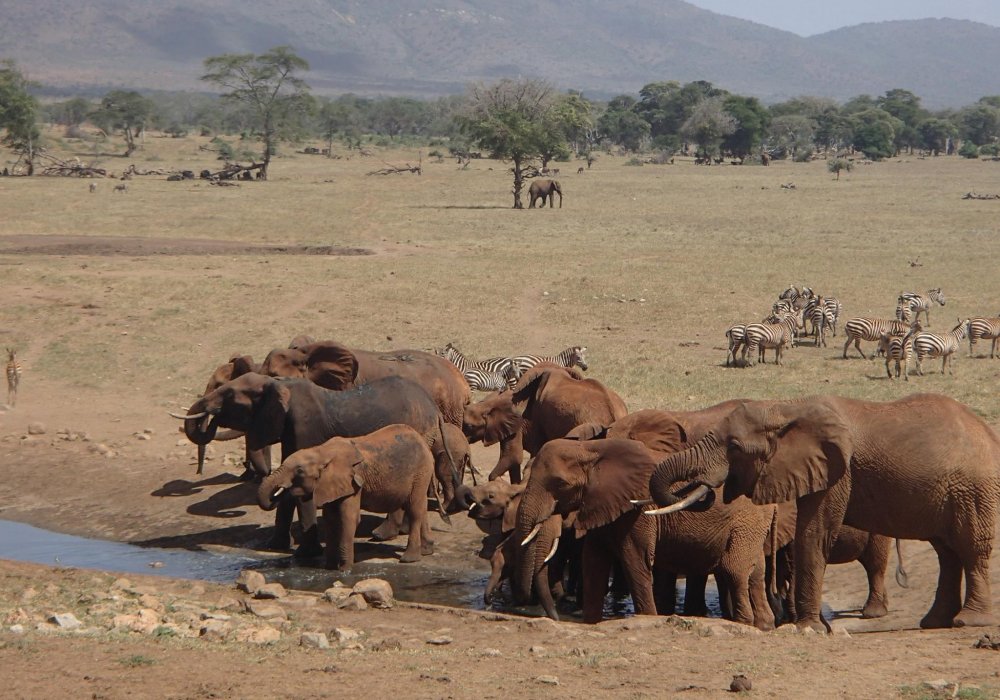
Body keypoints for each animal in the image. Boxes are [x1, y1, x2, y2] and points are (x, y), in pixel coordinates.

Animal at [258, 424, 434, 572]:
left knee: (415, 509)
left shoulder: (353, 483)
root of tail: (422, 440)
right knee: (421, 507)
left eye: (299, 471)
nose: (279, 491)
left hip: (421, 470)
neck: (322, 451)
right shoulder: (329, 485)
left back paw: (409, 559)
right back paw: (426, 551)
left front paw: (345, 570)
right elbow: (331, 518)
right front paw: (329, 568)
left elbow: (347, 518)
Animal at [648, 396, 1000, 632]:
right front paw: (812, 626)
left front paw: (807, 628)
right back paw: (934, 622)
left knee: (971, 549)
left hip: (974, 489)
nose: (708, 490)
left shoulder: (839, 471)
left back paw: (968, 621)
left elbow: (814, 533)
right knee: (948, 553)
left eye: (733, 446)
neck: (786, 407)